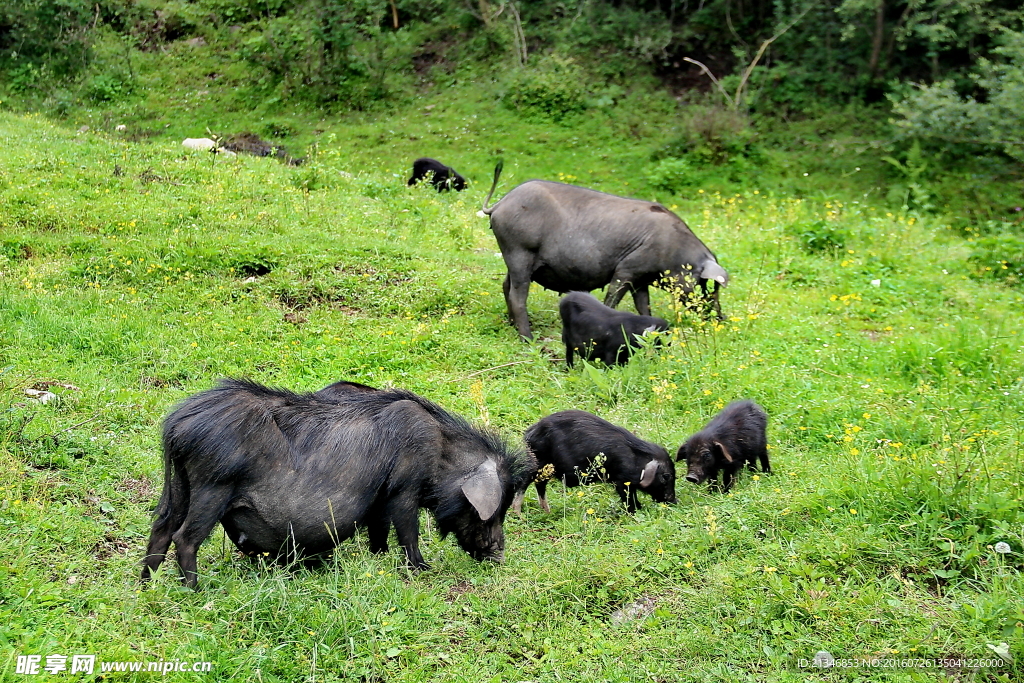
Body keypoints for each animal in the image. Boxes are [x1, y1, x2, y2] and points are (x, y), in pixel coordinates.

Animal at [140, 378, 532, 589]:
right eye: (494, 509)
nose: (499, 555)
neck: (441, 451)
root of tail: (178, 423)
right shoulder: (403, 487)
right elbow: (408, 529)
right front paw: (422, 569)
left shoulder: (379, 496)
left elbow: (379, 529)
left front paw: (378, 557)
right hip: (212, 485)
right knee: (184, 537)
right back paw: (195, 591)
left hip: (179, 485)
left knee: (160, 529)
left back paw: (146, 586)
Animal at [479, 162, 729, 339]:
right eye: (705, 284)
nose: (722, 318)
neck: (675, 253)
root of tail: (500, 204)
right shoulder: (626, 270)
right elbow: (613, 299)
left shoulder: (641, 279)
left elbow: (643, 306)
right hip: (519, 250)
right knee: (517, 295)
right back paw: (528, 339)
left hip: (515, 257)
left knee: (506, 285)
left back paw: (512, 325)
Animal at [520, 411, 679, 511]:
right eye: (666, 476)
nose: (674, 500)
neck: (635, 459)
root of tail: (530, 433)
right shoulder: (622, 481)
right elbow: (628, 498)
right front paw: (635, 511)